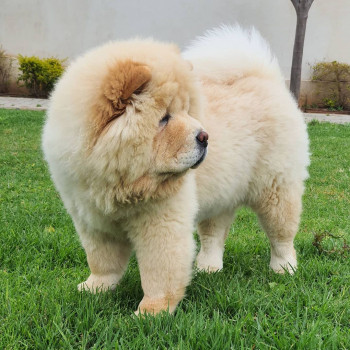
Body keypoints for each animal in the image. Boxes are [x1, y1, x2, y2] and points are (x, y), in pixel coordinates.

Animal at [43, 25, 308, 314]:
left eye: (187, 111)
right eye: (165, 118)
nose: (205, 136)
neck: (120, 182)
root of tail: (265, 77)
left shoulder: (161, 221)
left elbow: (159, 271)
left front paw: (152, 312)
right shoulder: (92, 220)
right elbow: (101, 261)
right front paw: (94, 289)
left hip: (275, 188)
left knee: (282, 234)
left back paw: (284, 268)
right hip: (221, 194)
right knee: (214, 233)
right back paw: (209, 267)